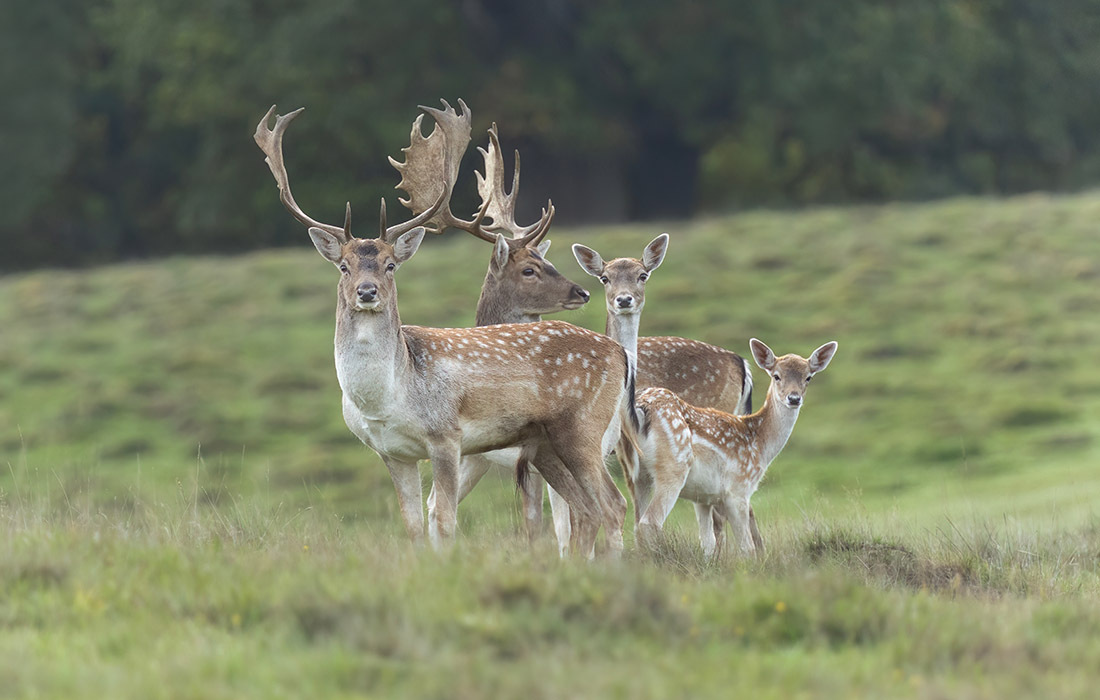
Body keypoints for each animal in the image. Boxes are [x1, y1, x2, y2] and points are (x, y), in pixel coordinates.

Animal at [253, 102, 634, 556]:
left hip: (583, 428)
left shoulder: (447, 437)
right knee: (586, 509)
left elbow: (446, 521)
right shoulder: (393, 453)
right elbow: (415, 527)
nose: (366, 292)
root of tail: (620, 353)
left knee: (613, 503)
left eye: (390, 265)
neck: (389, 397)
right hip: (544, 444)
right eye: (343, 266)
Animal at [628, 338, 838, 557]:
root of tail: (643, 408)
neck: (760, 443)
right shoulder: (738, 490)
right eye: (776, 376)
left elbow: (708, 543)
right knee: (649, 522)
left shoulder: (702, 497)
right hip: (673, 468)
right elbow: (747, 548)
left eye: (808, 377)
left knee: (636, 522)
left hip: (638, 474)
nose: (794, 398)